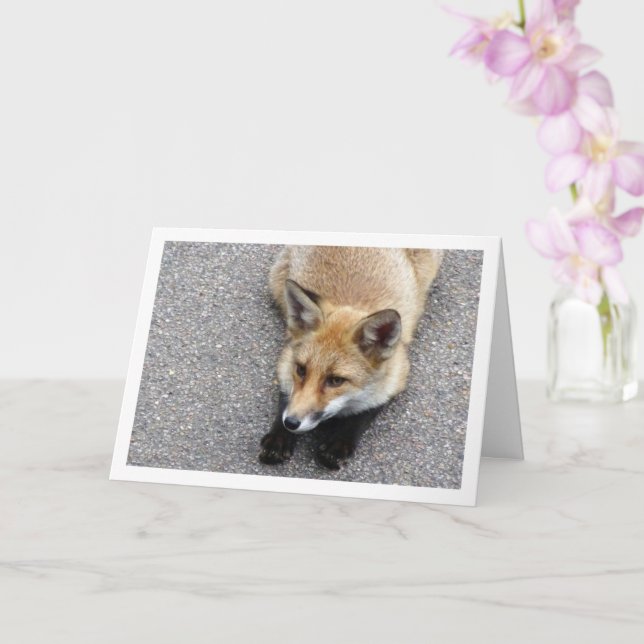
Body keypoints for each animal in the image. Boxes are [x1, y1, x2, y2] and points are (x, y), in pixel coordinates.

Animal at [259, 244, 443, 470]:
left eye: (336, 380)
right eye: (301, 370)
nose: (291, 423)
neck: (351, 304)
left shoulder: (398, 372)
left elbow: (366, 410)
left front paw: (339, 443)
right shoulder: (287, 357)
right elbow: (287, 396)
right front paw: (279, 436)